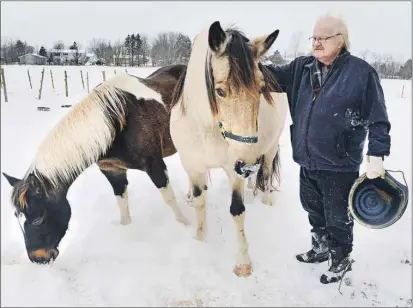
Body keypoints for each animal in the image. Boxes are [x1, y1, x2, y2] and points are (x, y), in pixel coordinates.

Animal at [1, 65, 188, 264]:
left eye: (38, 219)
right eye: (17, 217)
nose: (38, 259)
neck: (117, 122)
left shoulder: (155, 165)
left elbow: (169, 199)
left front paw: (185, 225)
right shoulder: (112, 171)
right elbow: (122, 204)